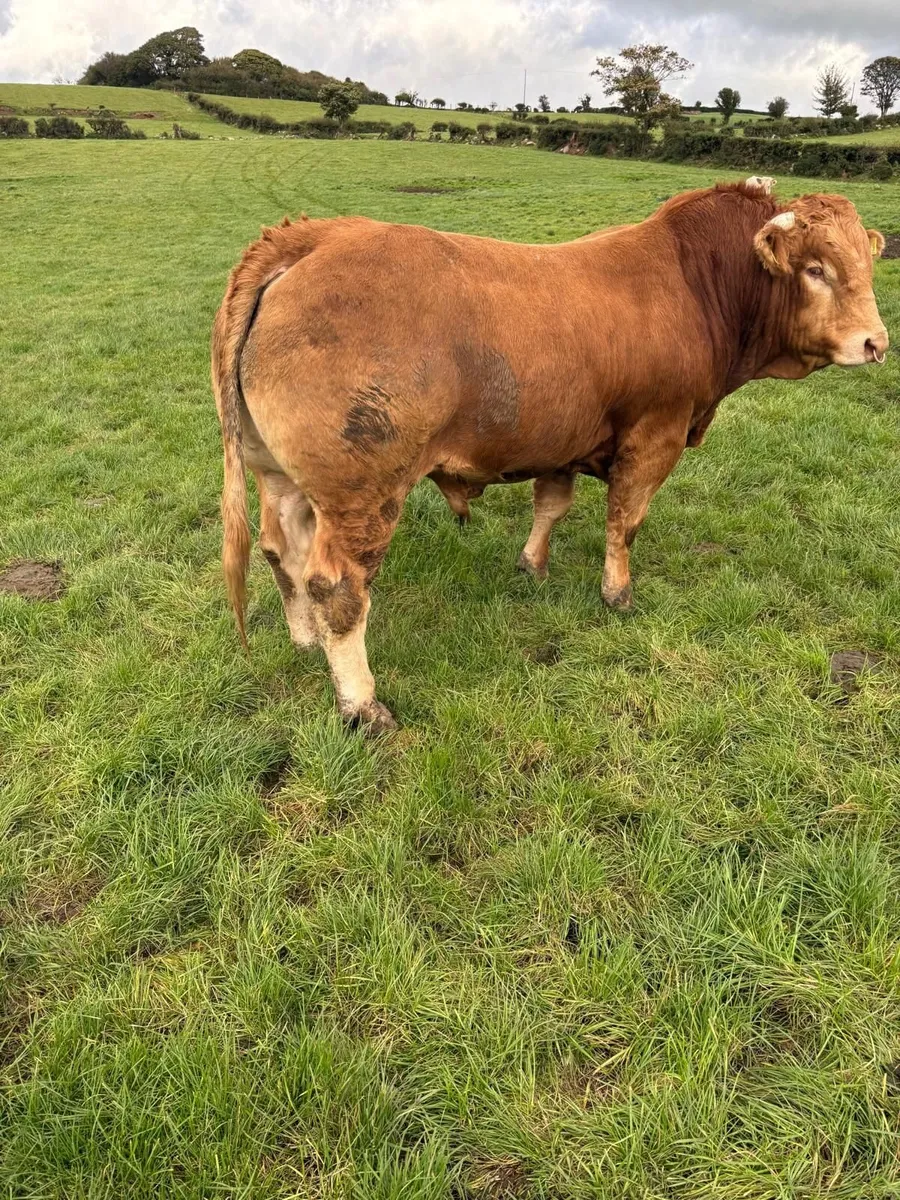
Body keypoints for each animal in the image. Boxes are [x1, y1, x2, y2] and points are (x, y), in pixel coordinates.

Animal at [213, 180, 888, 733]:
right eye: (817, 268)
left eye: (865, 263)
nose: (875, 342)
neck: (696, 282)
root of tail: (315, 236)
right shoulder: (657, 433)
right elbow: (626, 519)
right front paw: (617, 594)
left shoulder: (564, 440)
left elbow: (552, 506)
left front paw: (532, 566)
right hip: (364, 492)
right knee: (338, 588)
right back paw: (362, 705)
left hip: (281, 477)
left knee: (282, 552)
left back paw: (305, 641)